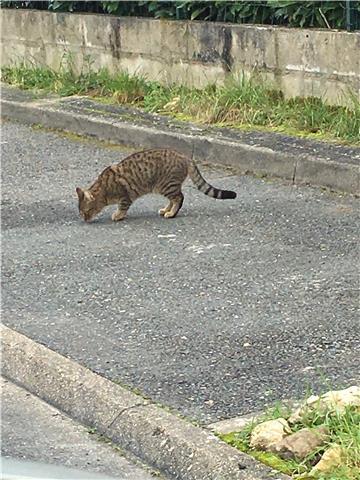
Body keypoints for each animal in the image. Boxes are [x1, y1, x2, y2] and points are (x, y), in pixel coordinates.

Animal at [76, 148, 236, 221]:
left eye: (86, 210)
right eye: (80, 212)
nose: (84, 219)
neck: (104, 189)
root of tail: (185, 157)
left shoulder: (125, 196)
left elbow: (122, 207)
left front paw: (118, 215)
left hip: (166, 185)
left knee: (179, 198)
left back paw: (171, 213)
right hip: (166, 186)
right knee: (174, 199)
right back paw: (166, 210)